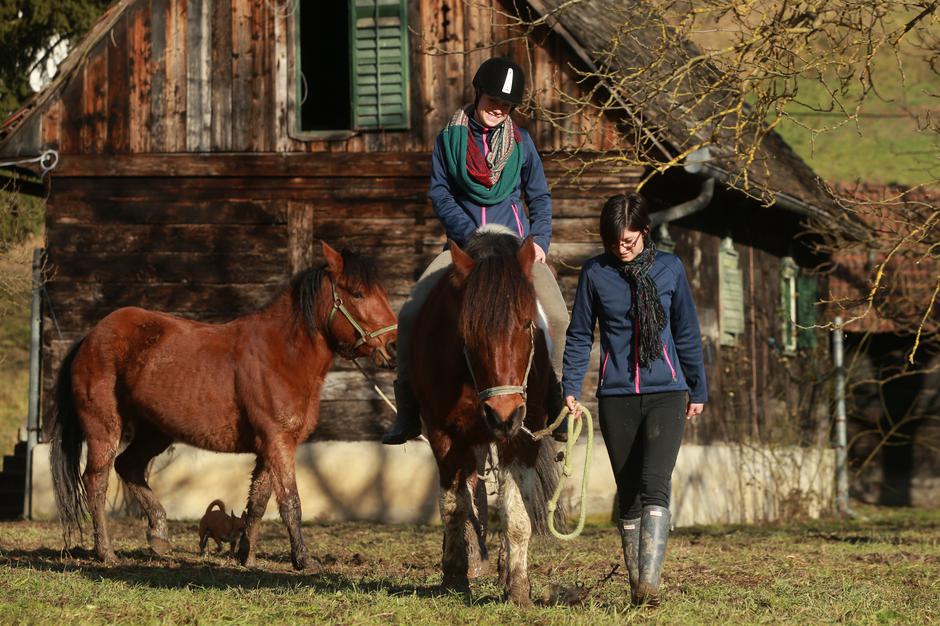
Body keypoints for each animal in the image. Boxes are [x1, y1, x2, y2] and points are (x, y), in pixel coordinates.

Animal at [50, 241, 396, 568]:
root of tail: (90, 337)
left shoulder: (270, 447)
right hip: (104, 428)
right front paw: (303, 560)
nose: (392, 347)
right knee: (96, 481)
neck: (281, 354)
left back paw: (159, 534)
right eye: (358, 293)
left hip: (156, 432)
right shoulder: (279, 442)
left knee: (129, 466)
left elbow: (258, 502)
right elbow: (290, 502)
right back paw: (106, 553)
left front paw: (247, 556)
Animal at [412, 229, 560, 604]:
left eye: (526, 323)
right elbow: (454, 504)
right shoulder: (444, 433)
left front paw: (519, 589)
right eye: (468, 331)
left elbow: (517, 513)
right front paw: (454, 577)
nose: (502, 413)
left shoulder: (523, 436)